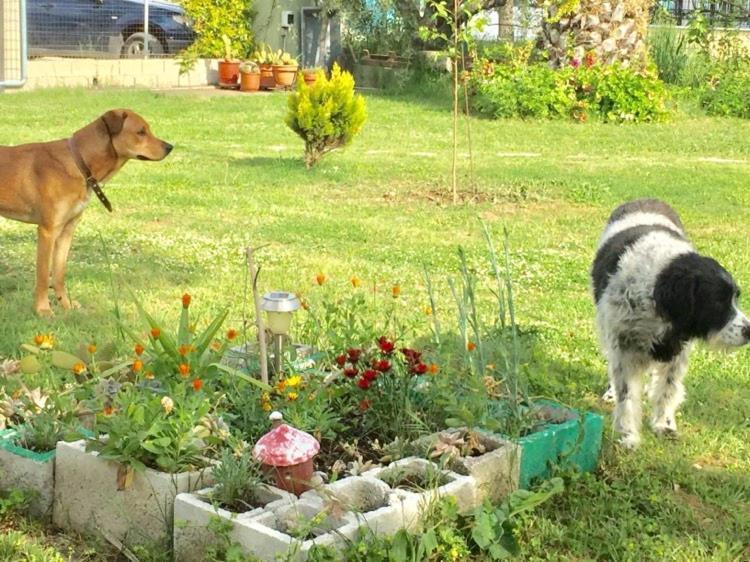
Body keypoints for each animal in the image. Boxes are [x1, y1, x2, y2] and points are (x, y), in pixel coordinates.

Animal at [0, 107, 172, 312]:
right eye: (141, 132)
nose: (170, 147)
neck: (80, 162)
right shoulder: (48, 231)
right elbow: (42, 276)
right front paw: (43, 310)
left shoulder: (67, 230)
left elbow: (59, 273)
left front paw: (65, 305)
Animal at [596, 199, 748, 448]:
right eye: (718, 301)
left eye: (735, 298)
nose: (749, 330)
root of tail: (645, 199)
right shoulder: (623, 347)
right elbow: (626, 395)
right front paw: (628, 435)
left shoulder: (677, 352)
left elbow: (667, 389)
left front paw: (664, 424)